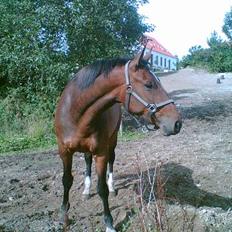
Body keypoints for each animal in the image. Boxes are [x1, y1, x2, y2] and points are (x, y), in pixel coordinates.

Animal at [54, 44, 181, 231]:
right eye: (149, 84)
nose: (177, 123)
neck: (76, 113)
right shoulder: (64, 151)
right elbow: (67, 180)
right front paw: (64, 216)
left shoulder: (101, 152)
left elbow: (102, 188)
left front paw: (109, 223)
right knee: (87, 161)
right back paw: (86, 190)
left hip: (112, 140)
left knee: (111, 161)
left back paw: (112, 186)